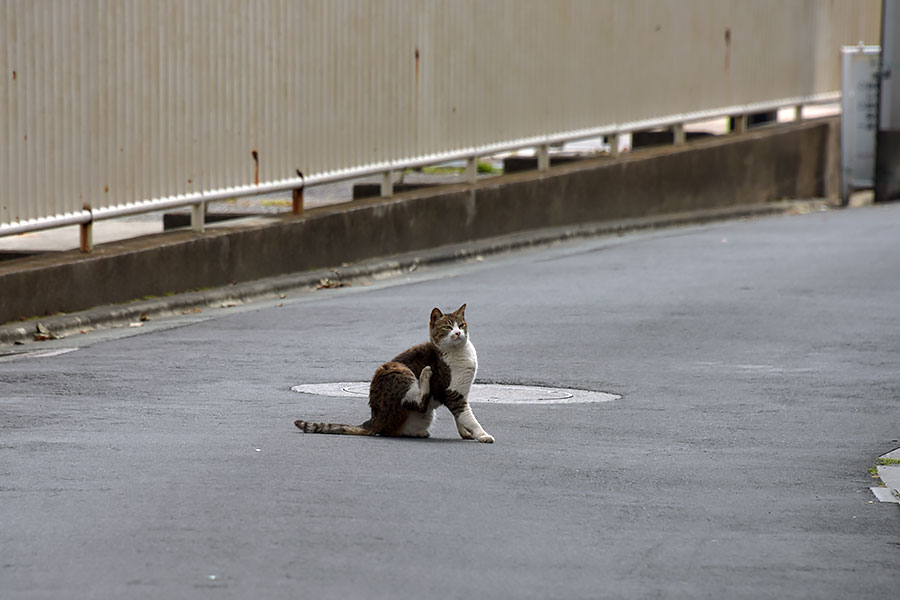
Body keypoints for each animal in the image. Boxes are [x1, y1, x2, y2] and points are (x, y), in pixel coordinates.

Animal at [294, 304, 492, 440]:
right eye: (448, 327)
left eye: (462, 325)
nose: (458, 333)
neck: (460, 353)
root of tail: (374, 420)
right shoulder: (452, 393)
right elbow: (468, 416)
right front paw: (482, 435)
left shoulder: (462, 392)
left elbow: (460, 417)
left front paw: (466, 434)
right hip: (397, 369)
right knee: (419, 402)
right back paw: (425, 374)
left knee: (395, 429)